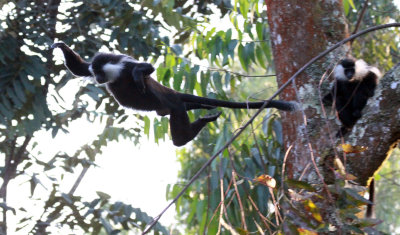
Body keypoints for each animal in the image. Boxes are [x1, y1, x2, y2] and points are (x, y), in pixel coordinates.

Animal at [52, 41, 296, 146]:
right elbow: (80, 68)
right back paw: (204, 109)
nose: (99, 80)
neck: (114, 74)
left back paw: (200, 122)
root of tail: (174, 95)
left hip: (174, 106)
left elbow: (144, 68)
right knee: (185, 108)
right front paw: (61, 46)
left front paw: (139, 75)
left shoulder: (123, 66)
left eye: (101, 74)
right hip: (167, 107)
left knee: (179, 135)